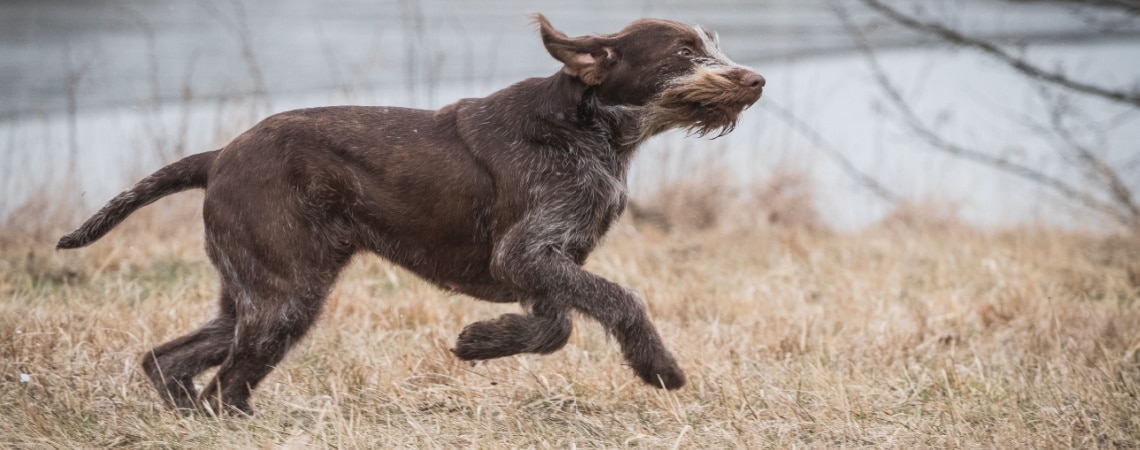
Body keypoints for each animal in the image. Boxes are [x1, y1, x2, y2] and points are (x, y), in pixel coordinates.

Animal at [57, 14, 761, 416]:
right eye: (684, 53)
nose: (754, 80)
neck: (590, 128)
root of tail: (220, 154)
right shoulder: (527, 253)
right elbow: (619, 301)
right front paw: (658, 366)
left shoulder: (547, 263)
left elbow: (555, 326)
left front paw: (482, 341)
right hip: (285, 298)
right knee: (225, 385)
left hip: (252, 294)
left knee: (172, 360)